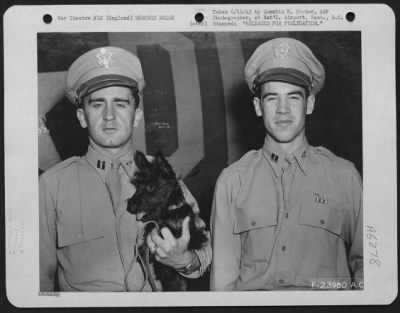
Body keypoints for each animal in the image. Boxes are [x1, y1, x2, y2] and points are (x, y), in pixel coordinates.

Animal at [127, 151, 209, 290]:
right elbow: (144, 250)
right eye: (137, 186)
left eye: (150, 186)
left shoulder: (194, 236)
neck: (166, 214)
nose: (130, 207)